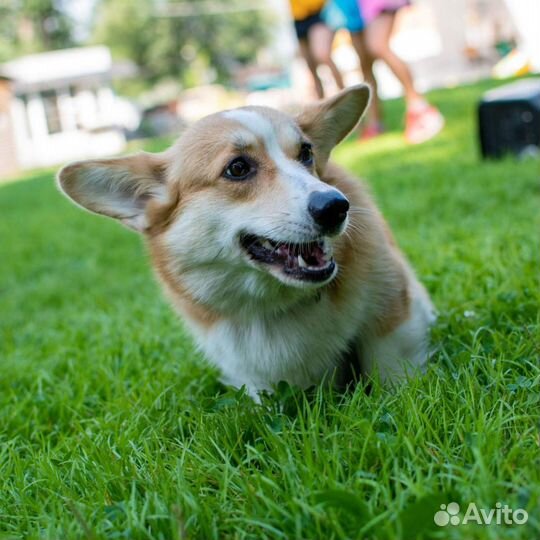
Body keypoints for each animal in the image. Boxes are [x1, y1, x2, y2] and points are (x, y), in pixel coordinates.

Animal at [59, 84, 436, 396]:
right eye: (238, 168)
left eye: (306, 153)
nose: (336, 207)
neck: (271, 305)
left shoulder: (391, 311)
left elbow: (388, 366)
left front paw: (400, 399)